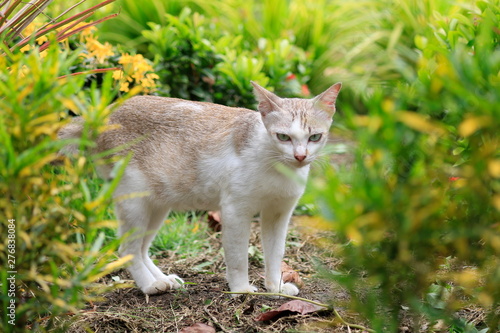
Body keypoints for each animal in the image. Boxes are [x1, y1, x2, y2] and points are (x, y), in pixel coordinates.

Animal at [57, 80, 340, 294]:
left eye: (315, 137)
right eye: (283, 137)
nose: (300, 156)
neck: (277, 168)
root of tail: (103, 114)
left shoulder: (278, 214)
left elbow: (274, 255)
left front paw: (275, 288)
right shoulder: (235, 211)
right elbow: (238, 258)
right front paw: (241, 290)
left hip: (156, 206)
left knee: (142, 248)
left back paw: (162, 279)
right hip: (134, 202)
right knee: (127, 249)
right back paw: (149, 285)